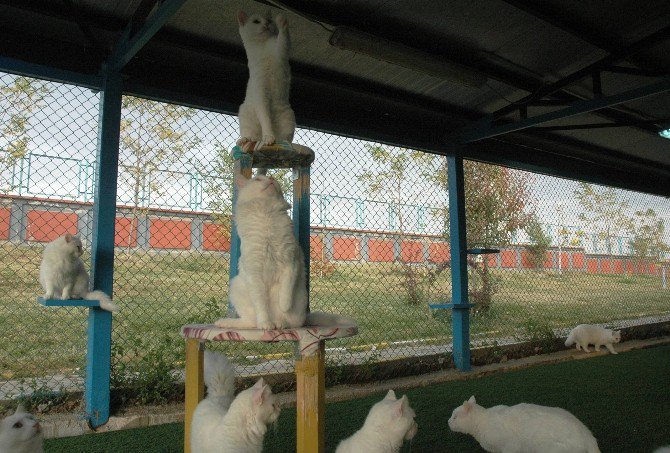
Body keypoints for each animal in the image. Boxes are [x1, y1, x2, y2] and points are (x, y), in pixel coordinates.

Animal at [218, 170, 360, 328]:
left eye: (272, 178)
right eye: (258, 179)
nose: (271, 178)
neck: (267, 214)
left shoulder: (290, 260)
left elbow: (285, 295)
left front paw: (284, 307)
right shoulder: (254, 273)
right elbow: (261, 304)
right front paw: (266, 324)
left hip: (300, 297)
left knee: (293, 323)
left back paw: (280, 323)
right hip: (236, 285)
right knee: (251, 322)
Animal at [239, 10, 296, 148]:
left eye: (269, 20)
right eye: (256, 21)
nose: (266, 24)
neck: (262, 47)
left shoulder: (281, 52)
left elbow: (284, 39)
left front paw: (281, 21)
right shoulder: (261, 94)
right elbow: (265, 119)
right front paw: (269, 137)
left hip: (289, 118)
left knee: (285, 138)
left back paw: (285, 143)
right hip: (244, 112)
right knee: (251, 136)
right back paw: (246, 140)